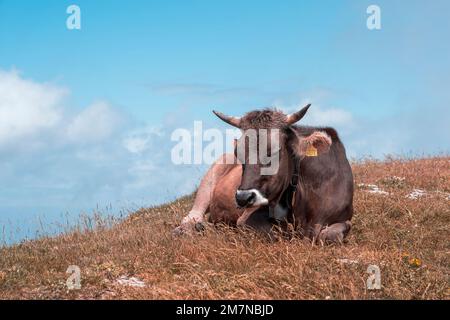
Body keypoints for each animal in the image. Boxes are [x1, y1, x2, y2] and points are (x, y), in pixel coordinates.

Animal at [174, 104, 354, 244]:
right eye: (238, 153)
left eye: (274, 151)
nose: (242, 198)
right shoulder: (247, 219)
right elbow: (276, 233)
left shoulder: (344, 218)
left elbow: (331, 234)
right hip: (210, 179)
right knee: (192, 217)